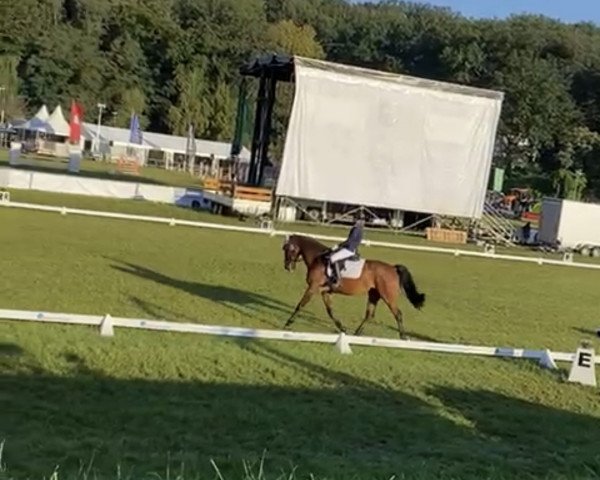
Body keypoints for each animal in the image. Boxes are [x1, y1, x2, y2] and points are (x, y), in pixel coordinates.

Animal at [282, 234, 426, 340]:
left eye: (288, 249)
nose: (287, 267)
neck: (318, 259)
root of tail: (392, 268)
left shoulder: (313, 287)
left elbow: (301, 304)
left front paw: (288, 322)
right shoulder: (325, 292)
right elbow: (330, 311)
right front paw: (342, 328)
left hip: (388, 297)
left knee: (398, 314)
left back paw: (403, 337)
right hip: (374, 295)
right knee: (369, 315)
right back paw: (357, 334)